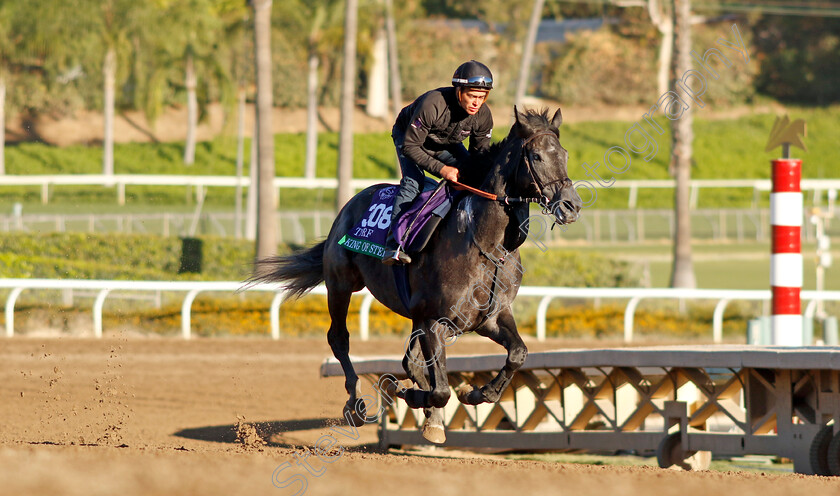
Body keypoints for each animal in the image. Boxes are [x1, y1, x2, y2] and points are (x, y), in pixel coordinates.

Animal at [253, 107, 580, 442]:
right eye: (537, 156)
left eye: (565, 154)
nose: (572, 205)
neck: (484, 242)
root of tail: (351, 203)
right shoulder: (435, 319)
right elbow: (440, 390)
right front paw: (408, 395)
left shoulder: (488, 317)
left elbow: (516, 353)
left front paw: (474, 393)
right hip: (341, 284)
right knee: (339, 338)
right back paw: (355, 404)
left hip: (413, 315)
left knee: (411, 362)